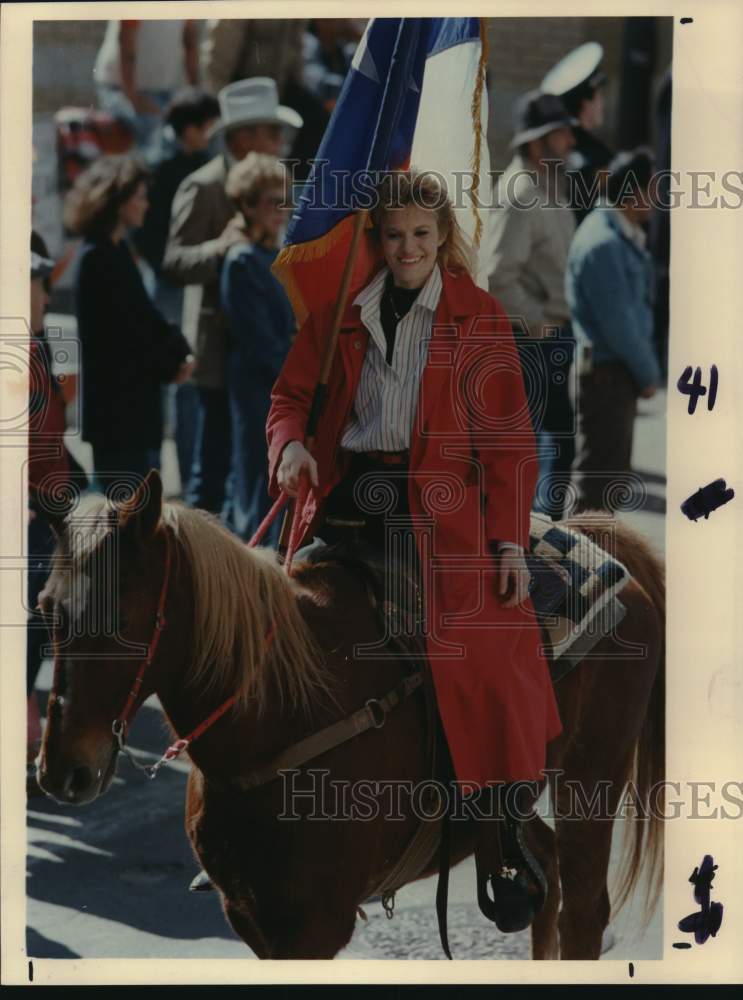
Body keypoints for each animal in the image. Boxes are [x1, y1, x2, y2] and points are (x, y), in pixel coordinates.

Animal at [36, 472, 664, 956]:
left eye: (123, 618)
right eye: (46, 608)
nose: (63, 770)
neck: (282, 716)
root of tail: (596, 539)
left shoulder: (314, 926)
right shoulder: (252, 917)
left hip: (590, 780)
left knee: (581, 911)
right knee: (544, 873)